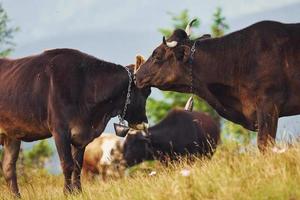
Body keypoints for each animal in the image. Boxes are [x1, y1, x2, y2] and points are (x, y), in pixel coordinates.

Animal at [0, 50, 150, 197]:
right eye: (147, 91)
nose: (145, 123)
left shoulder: (80, 135)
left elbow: (77, 166)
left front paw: (78, 192)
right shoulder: (60, 131)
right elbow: (67, 164)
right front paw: (67, 193)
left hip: (11, 136)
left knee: (8, 168)